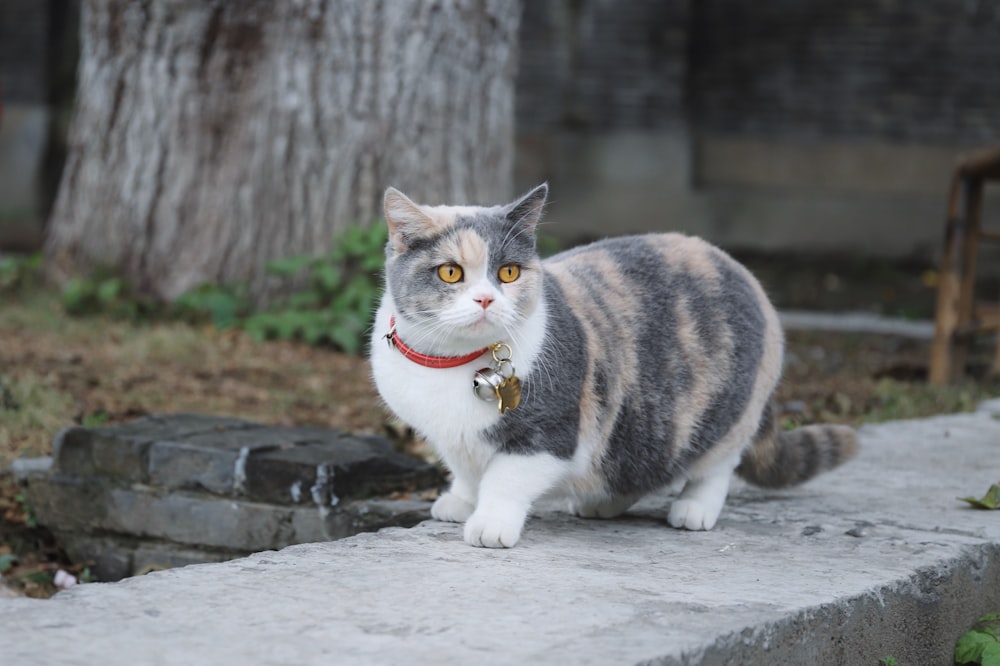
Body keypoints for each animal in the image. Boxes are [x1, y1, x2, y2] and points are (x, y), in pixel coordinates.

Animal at [372, 182, 856, 544]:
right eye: (450, 272)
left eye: (508, 272)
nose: (486, 299)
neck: (451, 362)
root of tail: (740, 270)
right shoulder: (449, 437)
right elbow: (466, 469)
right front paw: (459, 500)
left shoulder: (551, 433)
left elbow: (505, 478)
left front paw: (489, 522)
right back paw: (601, 502)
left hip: (726, 413)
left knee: (717, 463)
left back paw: (694, 508)